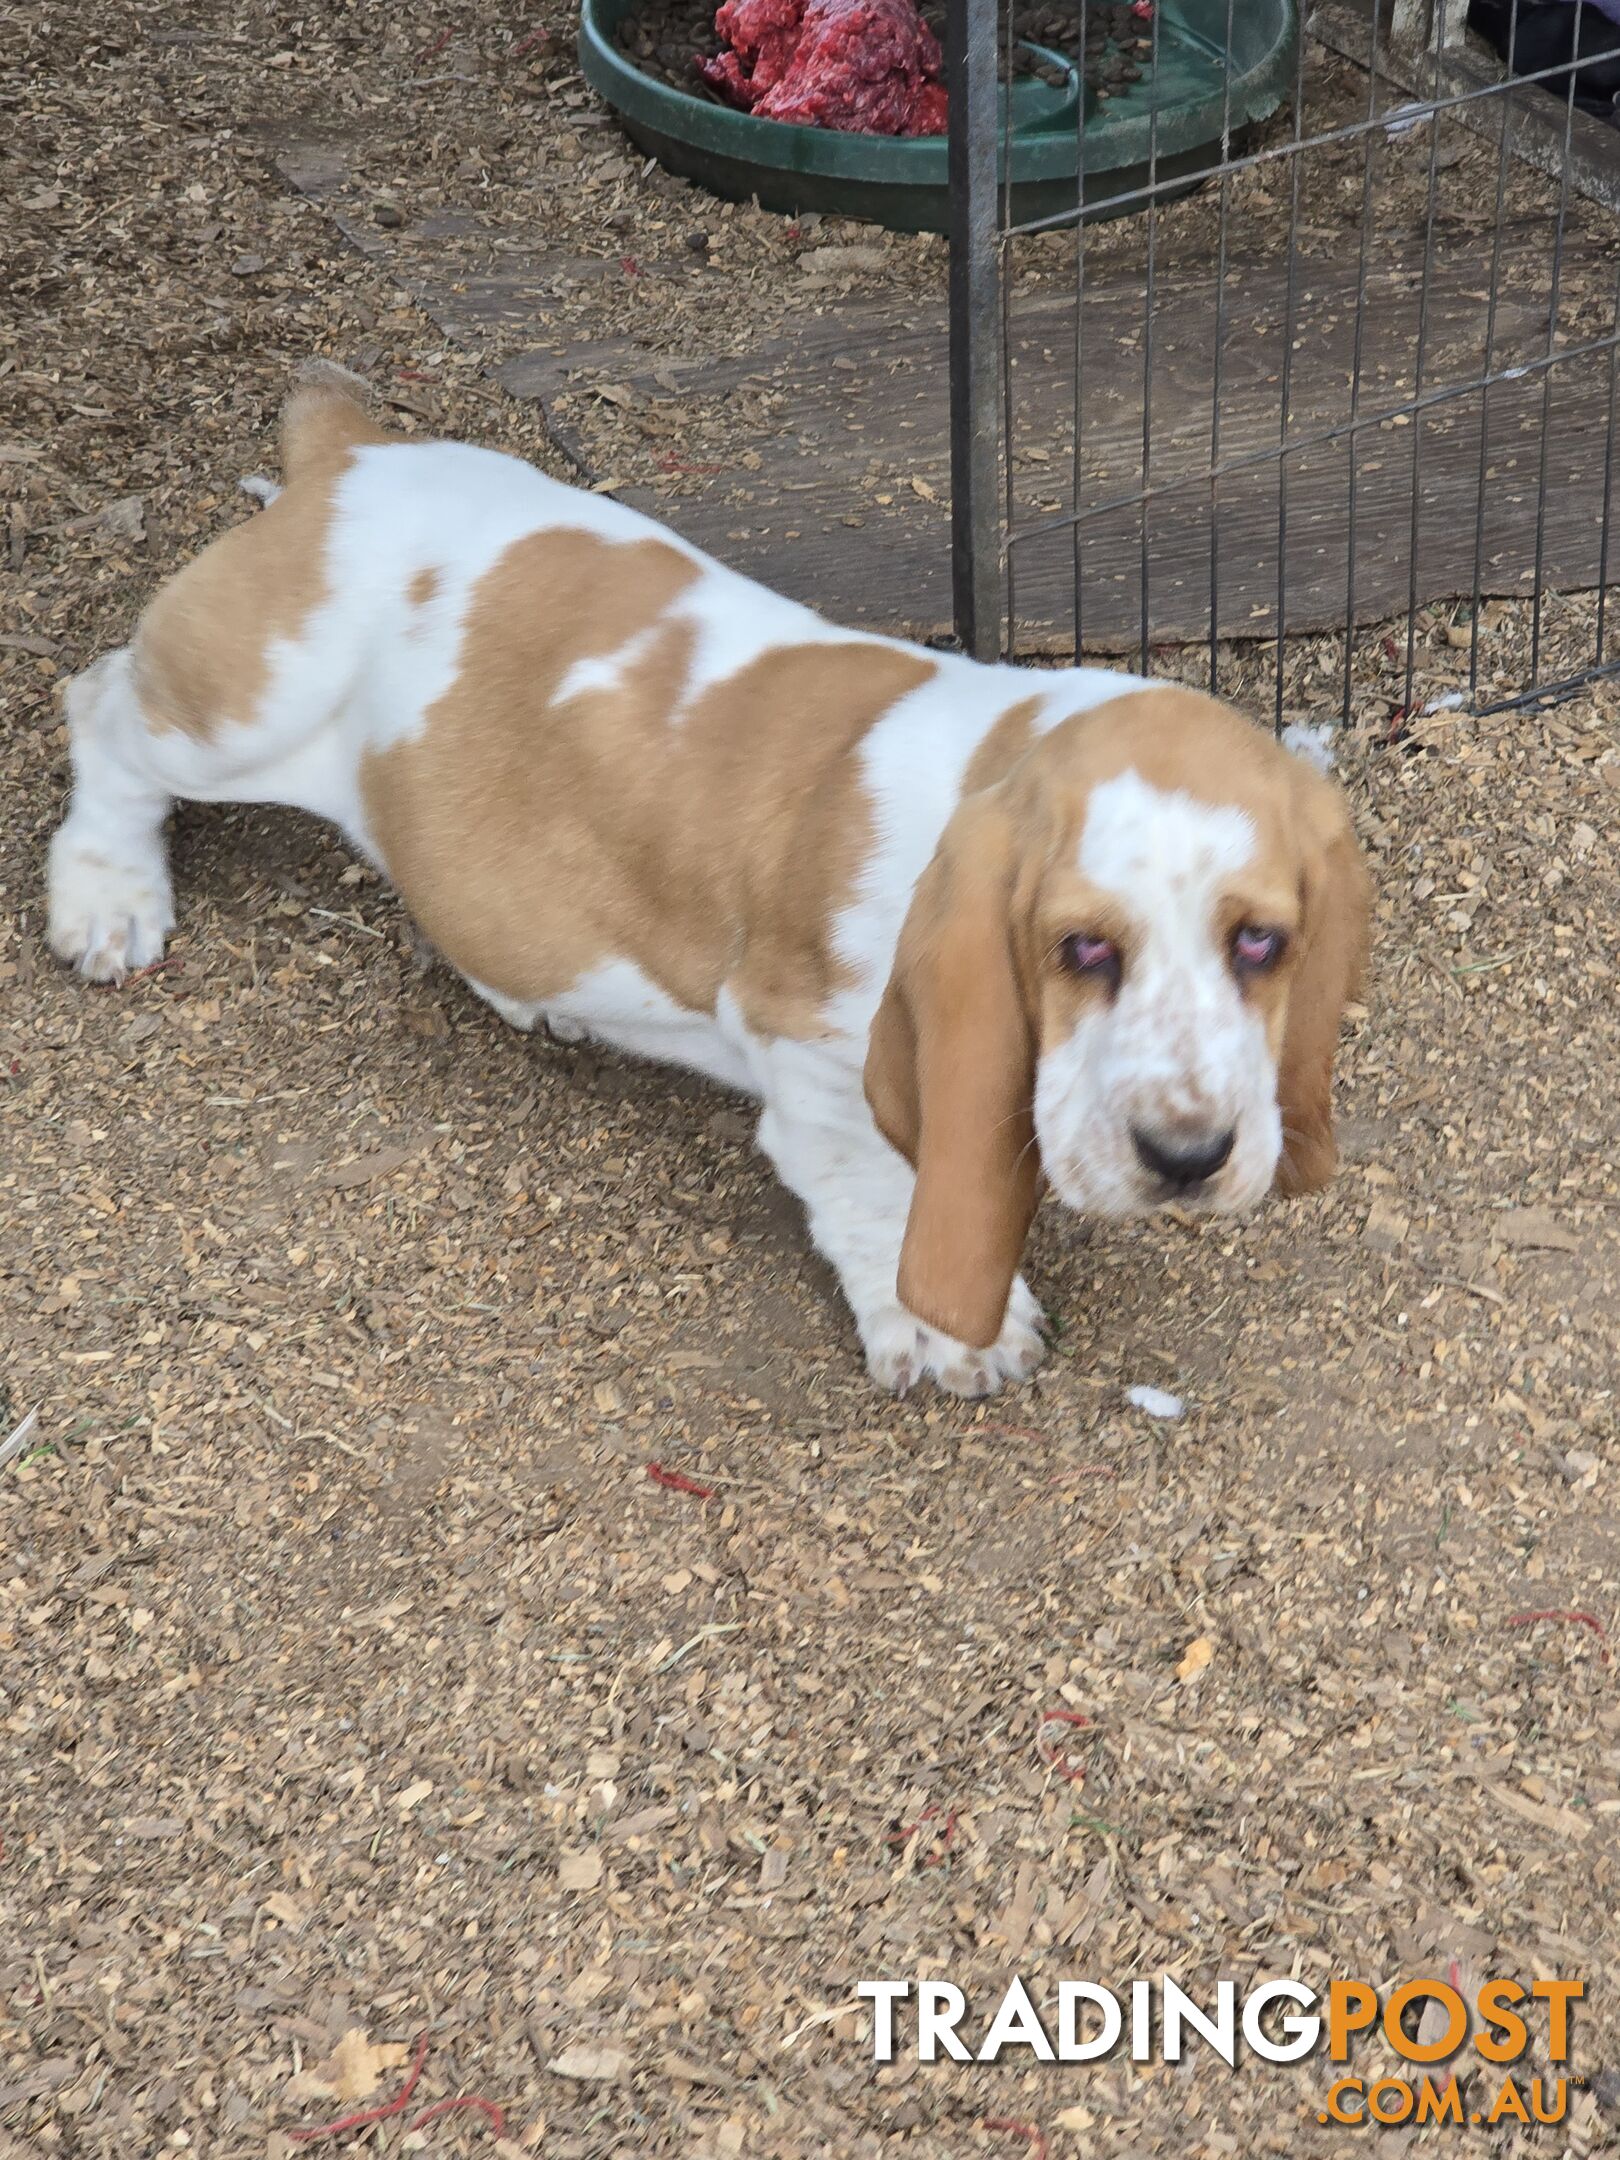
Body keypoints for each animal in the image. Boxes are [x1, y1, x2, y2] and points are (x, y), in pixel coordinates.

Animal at [44, 371, 1373, 1399]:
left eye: (1262, 943)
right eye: (1082, 949)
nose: (1190, 1157)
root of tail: (350, 454)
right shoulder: (814, 1056)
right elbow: (881, 1193)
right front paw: (951, 1334)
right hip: (236, 712)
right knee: (100, 705)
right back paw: (107, 899)